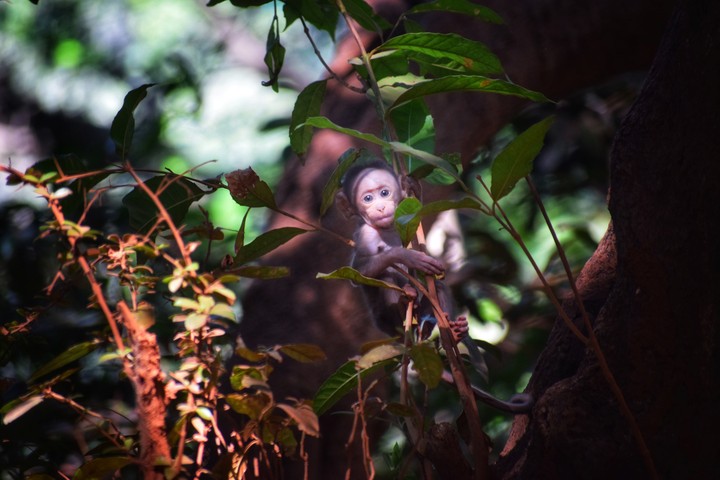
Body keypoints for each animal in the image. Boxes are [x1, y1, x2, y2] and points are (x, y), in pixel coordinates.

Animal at [336, 159, 533, 414]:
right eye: (367, 198)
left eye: (384, 193)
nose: (379, 208)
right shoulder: (365, 236)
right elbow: (358, 271)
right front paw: (407, 257)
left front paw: (413, 187)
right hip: (385, 321)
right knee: (387, 278)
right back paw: (405, 300)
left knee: (437, 289)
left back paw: (453, 333)